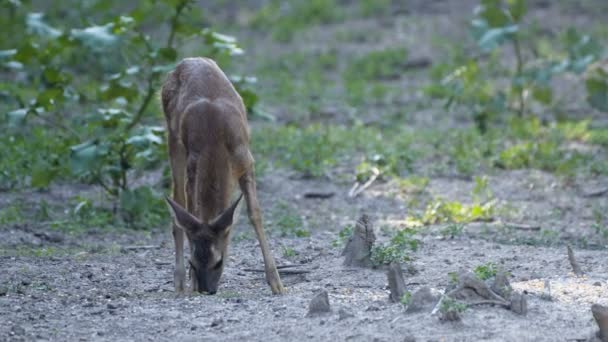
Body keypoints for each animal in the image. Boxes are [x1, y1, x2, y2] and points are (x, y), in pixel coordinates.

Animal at [162, 57, 284, 296]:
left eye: (218, 262)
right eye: (192, 263)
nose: (206, 290)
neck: (215, 143)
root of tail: (187, 61)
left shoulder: (246, 160)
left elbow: (255, 213)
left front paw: (276, 282)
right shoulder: (193, 164)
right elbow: (191, 211)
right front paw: (191, 282)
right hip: (173, 138)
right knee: (177, 200)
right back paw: (179, 282)